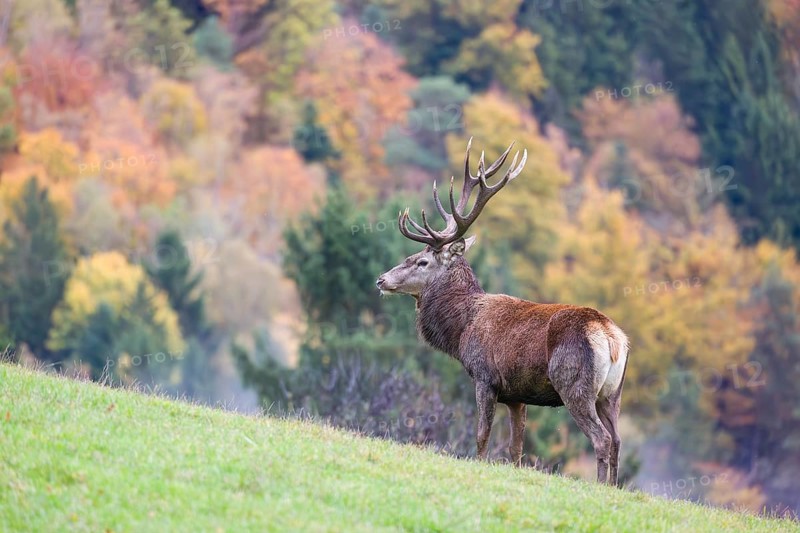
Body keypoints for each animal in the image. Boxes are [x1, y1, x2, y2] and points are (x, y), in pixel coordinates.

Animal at [375, 138, 630, 485]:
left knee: (601, 438)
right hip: (612, 394)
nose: (381, 279)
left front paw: (479, 464)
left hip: (574, 385)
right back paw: (612, 488)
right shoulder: (516, 394)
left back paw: (598, 485)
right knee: (617, 439)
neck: (461, 330)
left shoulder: (485, 376)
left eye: (422, 261)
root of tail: (610, 337)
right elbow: (516, 448)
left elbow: (482, 434)